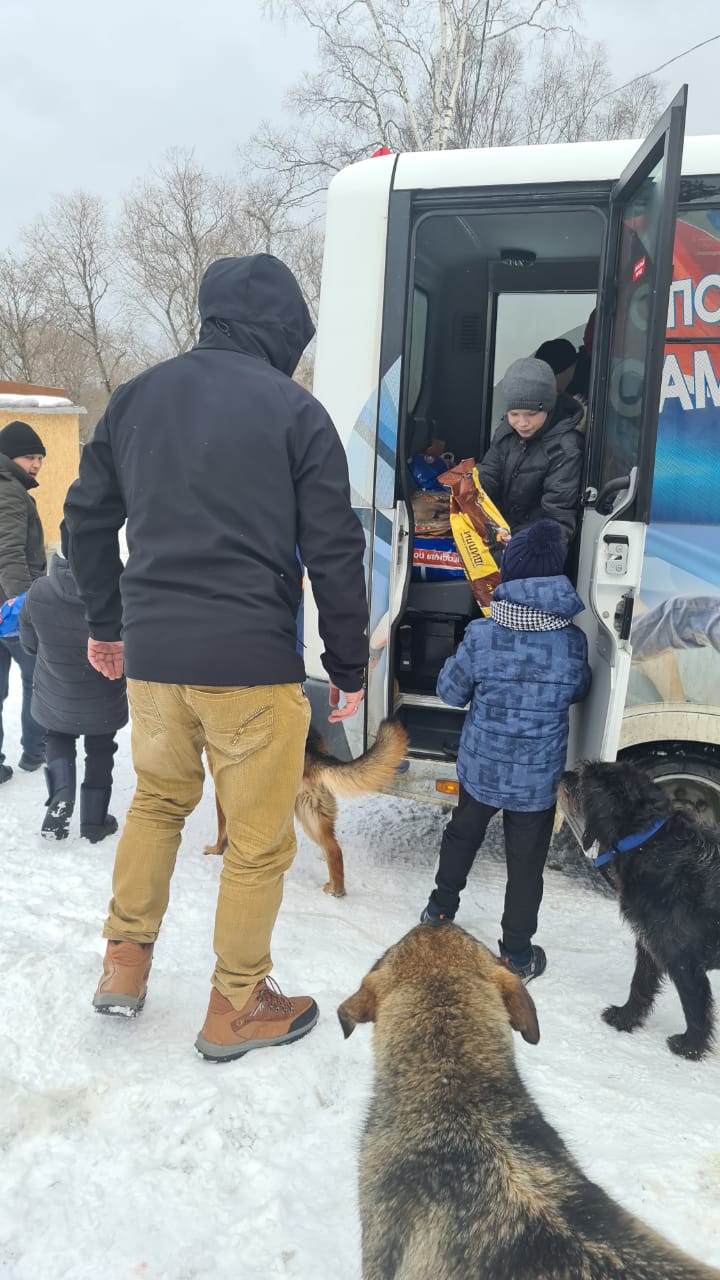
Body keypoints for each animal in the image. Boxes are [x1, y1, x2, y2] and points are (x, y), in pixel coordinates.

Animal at [203, 716, 404, 896]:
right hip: (311, 814)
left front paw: (217, 850)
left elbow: (223, 827)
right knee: (333, 849)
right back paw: (336, 889)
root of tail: (311, 751)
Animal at [561, 757, 717, 1059]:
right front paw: (625, 1018)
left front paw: (690, 1048)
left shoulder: (683, 959)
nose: (562, 775)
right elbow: (639, 985)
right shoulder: (649, 945)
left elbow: (695, 1006)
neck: (650, 844)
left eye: (582, 779)